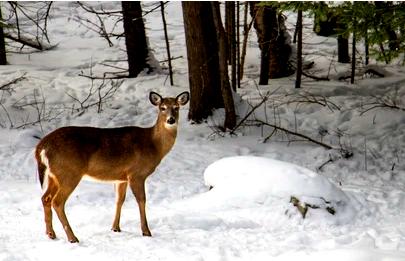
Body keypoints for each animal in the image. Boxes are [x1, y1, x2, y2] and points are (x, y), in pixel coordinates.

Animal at [34, 91, 189, 242]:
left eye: (176, 107)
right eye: (162, 108)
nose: (171, 120)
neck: (153, 144)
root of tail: (41, 146)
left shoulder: (122, 178)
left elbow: (119, 200)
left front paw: (115, 228)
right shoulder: (136, 174)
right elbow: (142, 200)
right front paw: (146, 231)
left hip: (54, 175)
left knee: (45, 198)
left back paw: (51, 234)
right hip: (69, 172)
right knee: (57, 202)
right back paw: (72, 238)